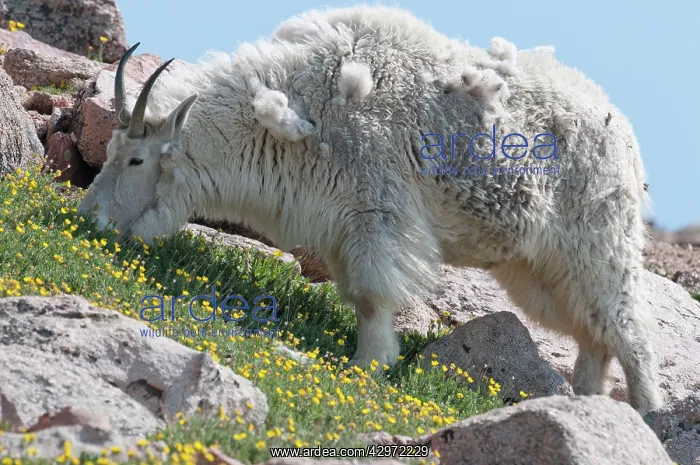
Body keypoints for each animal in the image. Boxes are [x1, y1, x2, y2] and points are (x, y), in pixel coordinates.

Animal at [78, 5, 662, 414]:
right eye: (109, 149)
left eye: (135, 159)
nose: (89, 216)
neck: (300, 109)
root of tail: (629, 145)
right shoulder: (341, 225)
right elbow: (359, 294)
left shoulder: (378, 213)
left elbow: (373, 294)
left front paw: (369, 362)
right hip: (538, 270)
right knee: (594, 336)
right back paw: (587, 404)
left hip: (599, 246)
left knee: (630, 332)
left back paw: (648, 414)